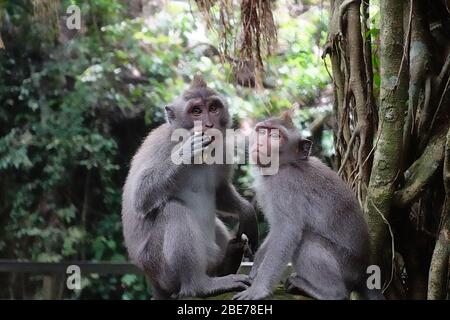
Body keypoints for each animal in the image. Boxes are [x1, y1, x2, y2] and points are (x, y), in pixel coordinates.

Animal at [121, 75, 258, 300]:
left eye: (213, 107)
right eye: (196, 111)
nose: (209, 124)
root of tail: (152, 281)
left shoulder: (222, 149)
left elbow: (220, 191)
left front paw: (247, 211)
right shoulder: (161, 145)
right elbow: (140, 197)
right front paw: (186, 152)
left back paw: (228, 260)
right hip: (159, 268)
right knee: (173, 210)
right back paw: (200, 285)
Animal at [232, 112, 384, 300]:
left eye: (275, 136)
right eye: (261, 131)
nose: (260, 144)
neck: (285, 165)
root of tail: (363, 273)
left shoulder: (285, 185)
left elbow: (286, 231)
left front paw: (258, 289)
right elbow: (276, 230)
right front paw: (255, 269)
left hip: (346, 268)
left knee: (306, 241)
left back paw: (328, 292)